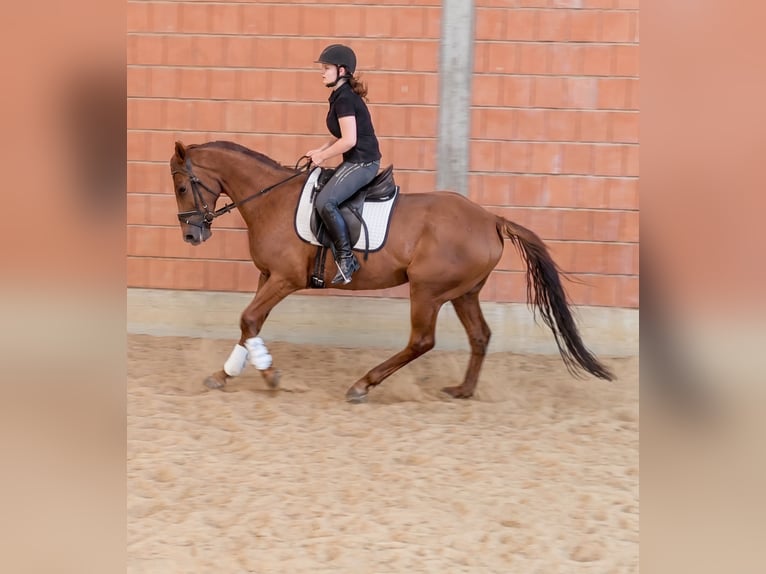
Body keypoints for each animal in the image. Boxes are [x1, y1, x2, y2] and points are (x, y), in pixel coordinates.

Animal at [169, 140, 614, 402]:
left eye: (181, 186)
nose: (190, 235)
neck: (270, 201)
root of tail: (491, 219)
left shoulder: (284, 279)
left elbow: (248, 320)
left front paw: (271, 377)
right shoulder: (267, 277)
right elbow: (250, 324)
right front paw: (224, 375)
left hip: (428, 291)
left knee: (421, 341)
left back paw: (362, 385)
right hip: (463, 292)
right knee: (479, 336)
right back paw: (462, 390)